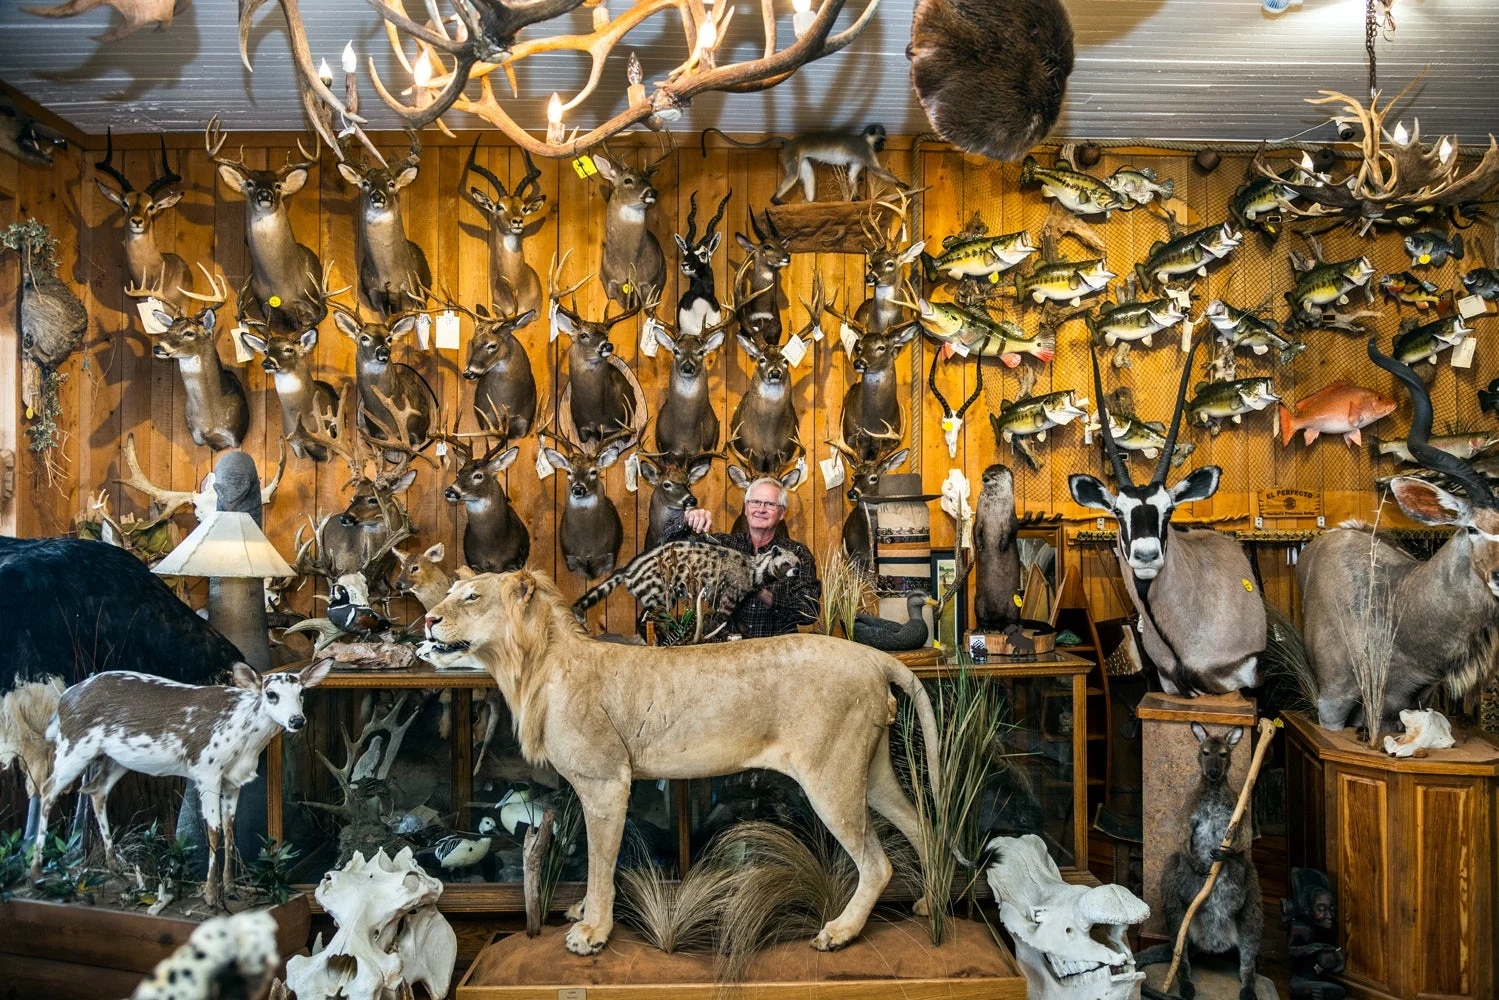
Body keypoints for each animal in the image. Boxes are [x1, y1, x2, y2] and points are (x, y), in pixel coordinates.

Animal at [416, 569, 941, 953]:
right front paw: (585, 913)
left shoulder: (606, 782)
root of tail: (873, 657)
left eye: (470, 597)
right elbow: (598, 859)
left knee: (876, 863)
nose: (427, 622)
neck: (532, 667)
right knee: (922, 826)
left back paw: (840, 932)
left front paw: (593, 932)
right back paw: (929, 904)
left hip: (830, 778)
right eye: (449, 594)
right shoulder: (599, 786)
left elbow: (600, 861)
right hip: (869, 773)